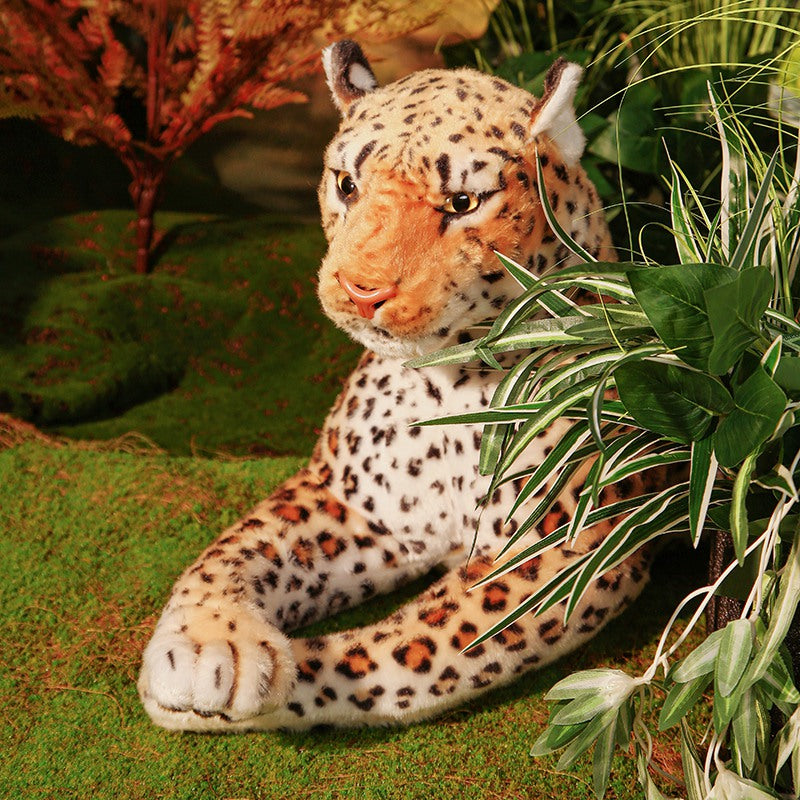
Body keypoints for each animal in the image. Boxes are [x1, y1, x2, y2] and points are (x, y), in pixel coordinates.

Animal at [138, 40, 657, 732]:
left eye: (463, 203)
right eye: (347, 185)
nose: (362, 290)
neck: (444, 387)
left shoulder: (562, 554)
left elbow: (398, 654)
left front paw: (233, 690)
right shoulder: (352, 503)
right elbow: (234, 548)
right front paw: (206, 646)